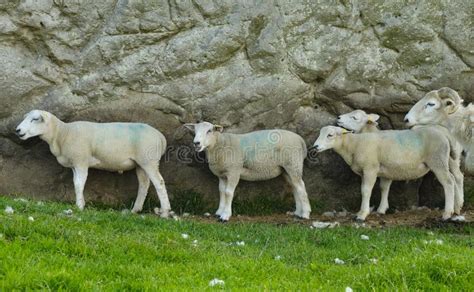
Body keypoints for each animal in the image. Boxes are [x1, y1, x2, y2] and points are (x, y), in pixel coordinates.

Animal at [15, 109, 173, 217]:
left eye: (35, 119)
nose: (17, 130)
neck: (62, 134)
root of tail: (160, 137)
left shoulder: (81, 161)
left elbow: (79, 184)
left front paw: (79, 206)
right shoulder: (74, 164)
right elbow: (76, 183)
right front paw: (80, 203)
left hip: (149, 160)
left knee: (159, 183)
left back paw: (165, 212)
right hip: (140, 164)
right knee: (144, 184)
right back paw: (135, 210)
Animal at [182, 121, 312, 221]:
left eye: (209, 131)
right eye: (194, 131)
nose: (196, 143)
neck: (220, 145)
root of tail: (301, 140)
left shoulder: (234, 171)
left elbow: (228, 193)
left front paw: (225, 215)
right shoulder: (222, 175)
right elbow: (221, 192)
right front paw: (219, 212)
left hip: (293, 164)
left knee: (301, 187)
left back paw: (305, 214)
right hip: (286, 169)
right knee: (295, 187)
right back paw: (298, 212)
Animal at [312, 124, 458, 220]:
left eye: (330, 135)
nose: (315, 147)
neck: (354, 145)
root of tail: (443, 132)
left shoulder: (370, 168)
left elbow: (365, 190)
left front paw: (362, 214)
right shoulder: (381, 171)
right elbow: (384, 188)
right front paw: (381, 210)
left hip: (438, 160)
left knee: (449, 182)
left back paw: (447, 213)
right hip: (448, 159)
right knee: (455, 179)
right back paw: (456, 209)